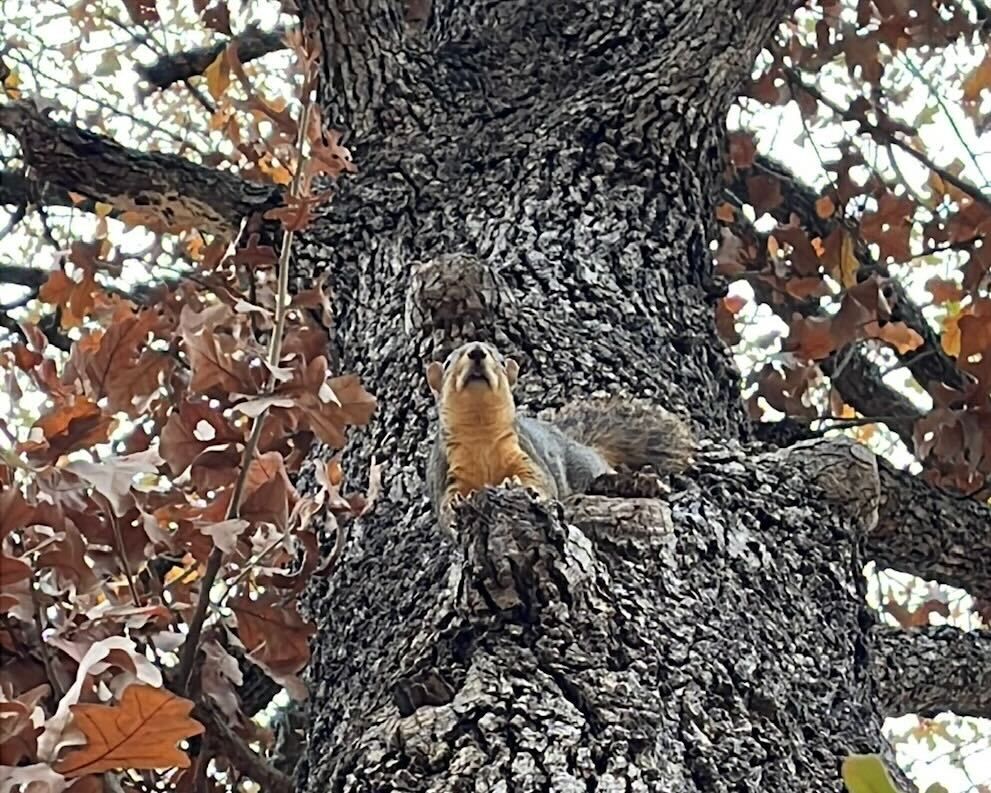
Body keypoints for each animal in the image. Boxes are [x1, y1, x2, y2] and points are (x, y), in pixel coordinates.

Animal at [424, 341, 695, 533]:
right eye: (447, 362)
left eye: (500, 359)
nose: (478, 352)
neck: (479, 427)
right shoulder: (446, 472)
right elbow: (446, 505)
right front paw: (457, 506)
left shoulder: (525, 453)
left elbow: (540, 481)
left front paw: (516, 485)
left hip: (583, 465)